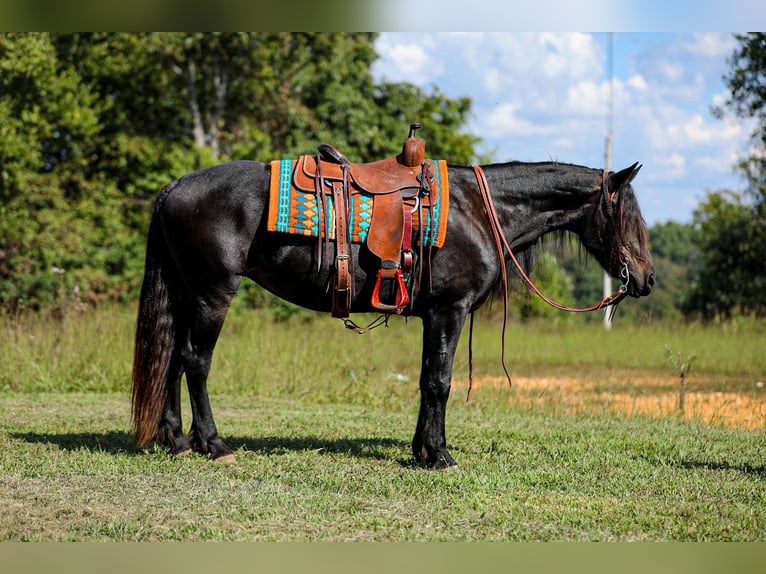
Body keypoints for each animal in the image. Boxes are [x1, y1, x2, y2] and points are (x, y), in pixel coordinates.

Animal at [131, 157, 655, 469]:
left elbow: (426, 381)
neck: (477, 212)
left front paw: (422, 450)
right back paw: (214, 444)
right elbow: (440, 382)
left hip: (187, 295)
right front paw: (439, 455)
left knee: (173, 359)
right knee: (195, 361)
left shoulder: (433, 316)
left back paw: (176, 440)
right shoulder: (449, 311)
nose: (647, 279)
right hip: (213, 294)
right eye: (628, 215)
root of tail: (175, 187)